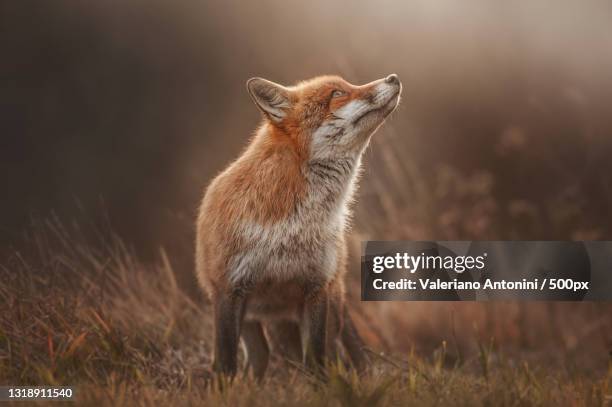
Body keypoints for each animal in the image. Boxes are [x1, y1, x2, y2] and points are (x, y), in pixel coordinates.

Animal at [196, 72, 404, 380]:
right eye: (337, 93)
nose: (393, 77)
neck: (291, 228)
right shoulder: (227, 290)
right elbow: (225, 364)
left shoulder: (316, 288)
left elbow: (316, 361)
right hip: (253, 317)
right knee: (259, 358)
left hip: (331, 303)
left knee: (339, 353)